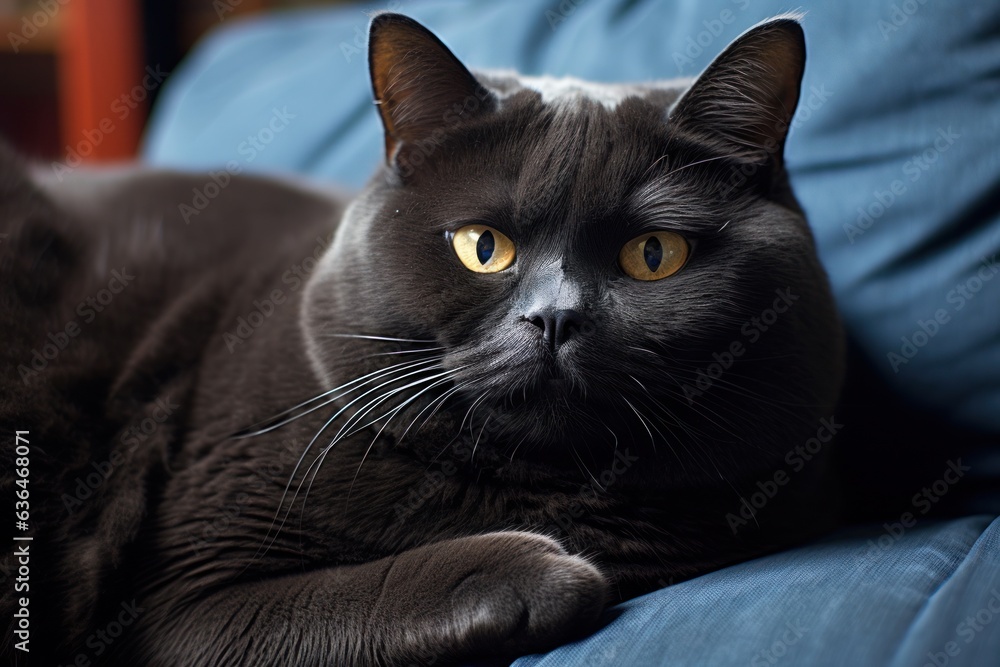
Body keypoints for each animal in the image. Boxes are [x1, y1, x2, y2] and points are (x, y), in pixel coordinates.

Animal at [1, 10, 844, 667]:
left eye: (654, 254)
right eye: (482, 246)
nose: (555, 317)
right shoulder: (182, 599)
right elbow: (345, 595)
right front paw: (539, 574)